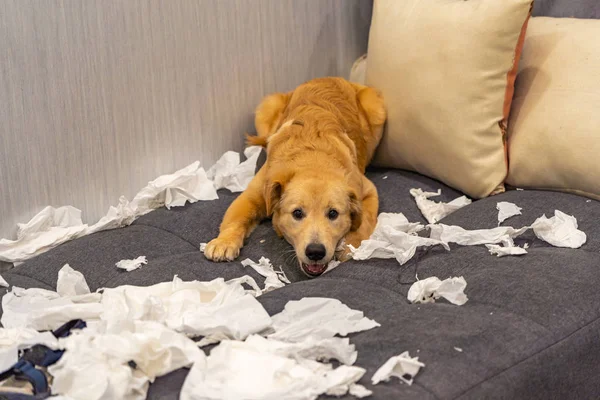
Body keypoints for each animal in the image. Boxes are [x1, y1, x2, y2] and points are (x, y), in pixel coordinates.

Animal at [204, 78, 386, 278]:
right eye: (297, 213)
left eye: (333, 214)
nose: (315, 252)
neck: (313, 160)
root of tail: (329, 78)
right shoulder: (254, 193)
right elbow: (235, 218)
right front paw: (224, 242)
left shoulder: (367, 190)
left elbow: (365, 220)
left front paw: (350, 245)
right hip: (266, 109)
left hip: (375, 110)